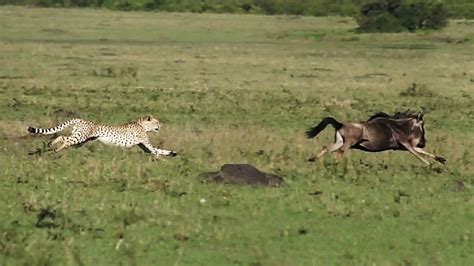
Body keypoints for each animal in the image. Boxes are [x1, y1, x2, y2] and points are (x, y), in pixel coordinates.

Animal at [28, 116, 180, 158]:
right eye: (157, 122)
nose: (160, 126)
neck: (142, 124)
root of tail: (80, 119)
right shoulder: (146, 144)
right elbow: (155, 150)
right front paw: (161, 158)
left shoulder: (144, 147)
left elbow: (158, 150)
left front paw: (172, 153)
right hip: (80, 138)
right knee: (65, 140)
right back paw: (57, 149)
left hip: (81, 139)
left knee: (63, 137)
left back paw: (51, 144)